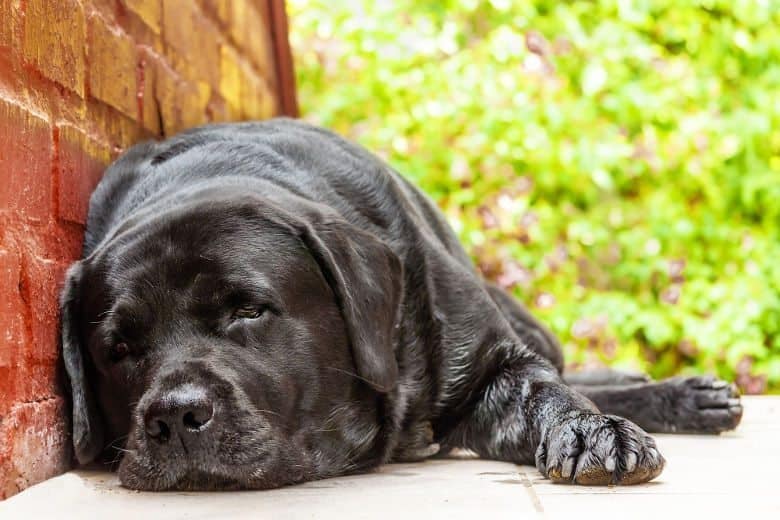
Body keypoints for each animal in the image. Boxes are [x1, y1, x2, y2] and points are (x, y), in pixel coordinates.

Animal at [61, 119, 744, 492]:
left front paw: (594, 431)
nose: (174, 416)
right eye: (117, 349)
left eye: (250, 310)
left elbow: (549, 392)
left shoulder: (494, 361)